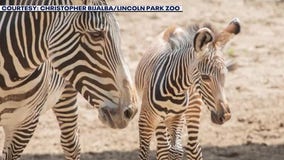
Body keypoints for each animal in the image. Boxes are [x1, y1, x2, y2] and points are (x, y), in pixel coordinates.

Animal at [134, 18, 241, 159]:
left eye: (225, 74)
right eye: (205, 77)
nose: (226, 116)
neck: (174, 90)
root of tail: (175, 28)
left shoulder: (177, 118)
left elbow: (176, 149)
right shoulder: (145, 121)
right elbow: (147, 152)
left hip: (192, 107)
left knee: (192, 147)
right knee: (163, 147)